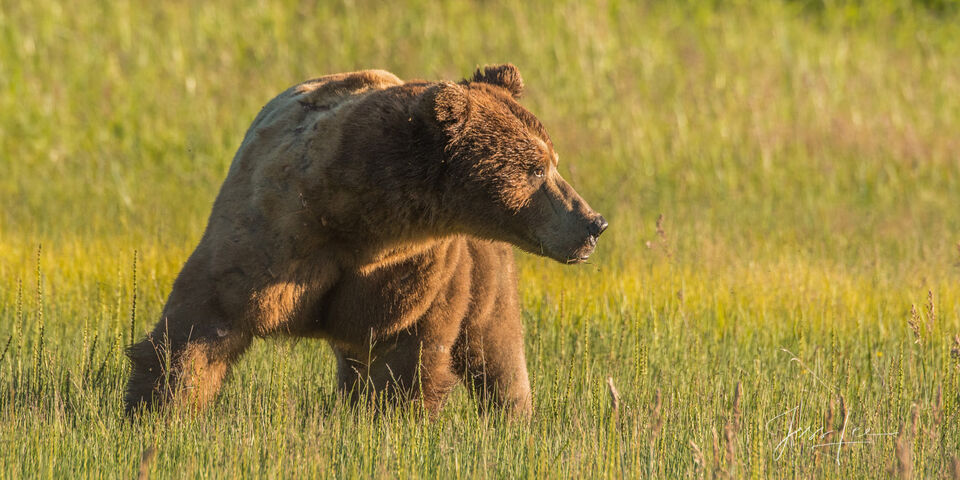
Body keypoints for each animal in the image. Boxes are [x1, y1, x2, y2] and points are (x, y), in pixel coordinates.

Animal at [125, 62, 608, 416]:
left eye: (552, 160)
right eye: (536, 169)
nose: (593, 223)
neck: (357, 216)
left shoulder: (412, 272)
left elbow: (405, 359)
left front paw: (390, 421)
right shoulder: (267, 240)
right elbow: (197, 326)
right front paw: (161, 410)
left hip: (483, 272)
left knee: (498, 349)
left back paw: (514, 416)